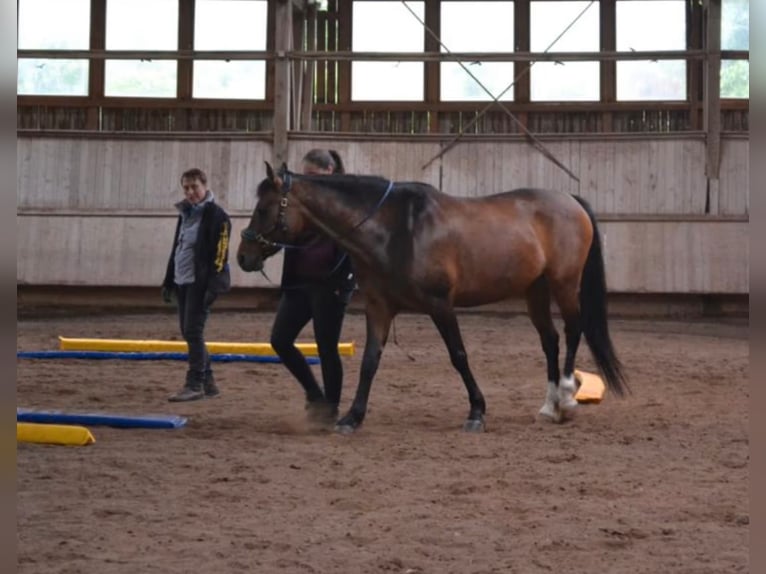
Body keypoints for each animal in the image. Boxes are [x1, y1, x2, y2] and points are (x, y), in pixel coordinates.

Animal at [240, 164, 632, 434]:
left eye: (263, 209)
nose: (244, 256)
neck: (397, 228)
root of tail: (570, 200)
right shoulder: (379, 308)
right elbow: (369, 361)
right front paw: (352, 417)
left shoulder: (440, 305)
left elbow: (458, 356)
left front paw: (476, 412)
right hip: (534, 289)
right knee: (549, 340)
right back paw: (550, 406)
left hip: (563, 284)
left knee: (572, 331)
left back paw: (565, 397)